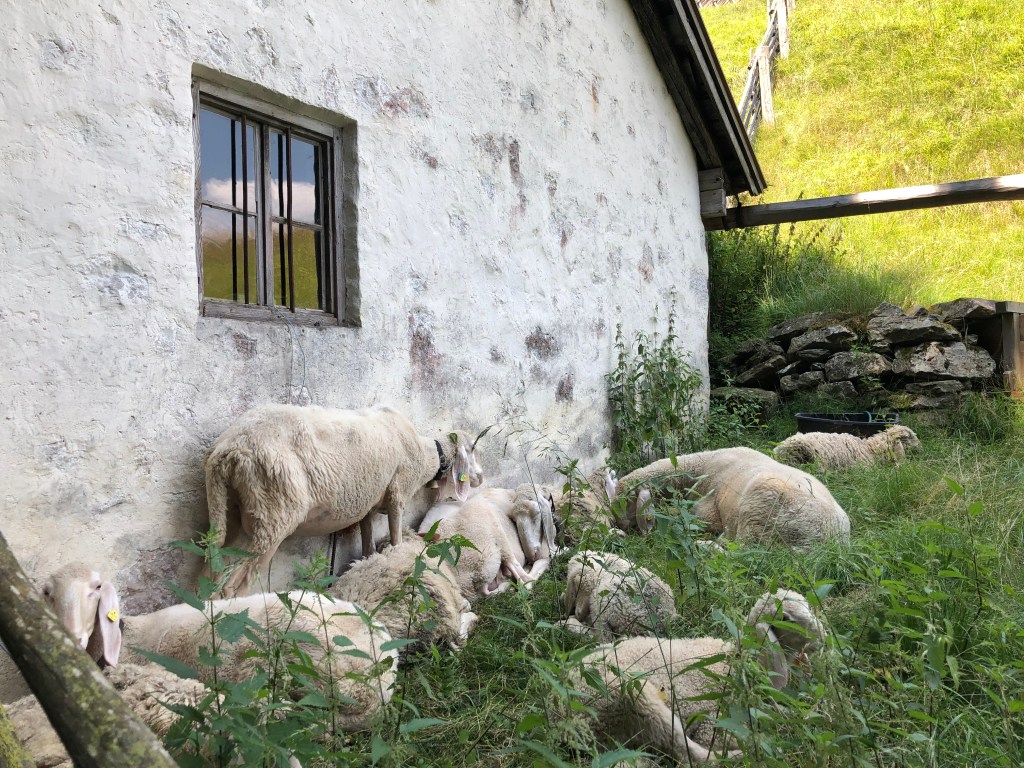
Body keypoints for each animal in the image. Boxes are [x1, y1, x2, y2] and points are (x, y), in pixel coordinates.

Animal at [204, 403, 485, 596]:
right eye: (472, 449)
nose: (481, 478)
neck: (427, 456)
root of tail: (230, 448)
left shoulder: (368, 505)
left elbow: (368, 545)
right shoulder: (398, 493)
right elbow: (396, 538)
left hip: (228, 511)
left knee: (213, 571)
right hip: (274, 512)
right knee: (234, 586)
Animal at [575, 589, 826, 763]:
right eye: (788, 618)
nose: (823, 639)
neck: (736, 664)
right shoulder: (714, 724)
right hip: (633, 697)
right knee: (693, 755)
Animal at [615, 447, 851, 547]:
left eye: (622, 503)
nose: (620, 525)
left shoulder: (706, 511)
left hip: (760, 511)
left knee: (745, 552)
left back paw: (706, 546)